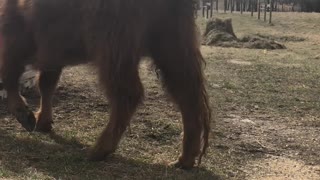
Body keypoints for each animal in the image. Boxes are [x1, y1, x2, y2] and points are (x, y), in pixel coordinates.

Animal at [0, 0, 212, 169]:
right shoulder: (51, 48)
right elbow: (46, 84)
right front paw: (42, 122)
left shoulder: (15, 37)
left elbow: (10, 73)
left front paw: (25, 115)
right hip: (171, 44)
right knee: (188, 95)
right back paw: (185, 159)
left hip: (113, 46)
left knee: (128, 94)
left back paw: (99, 150)